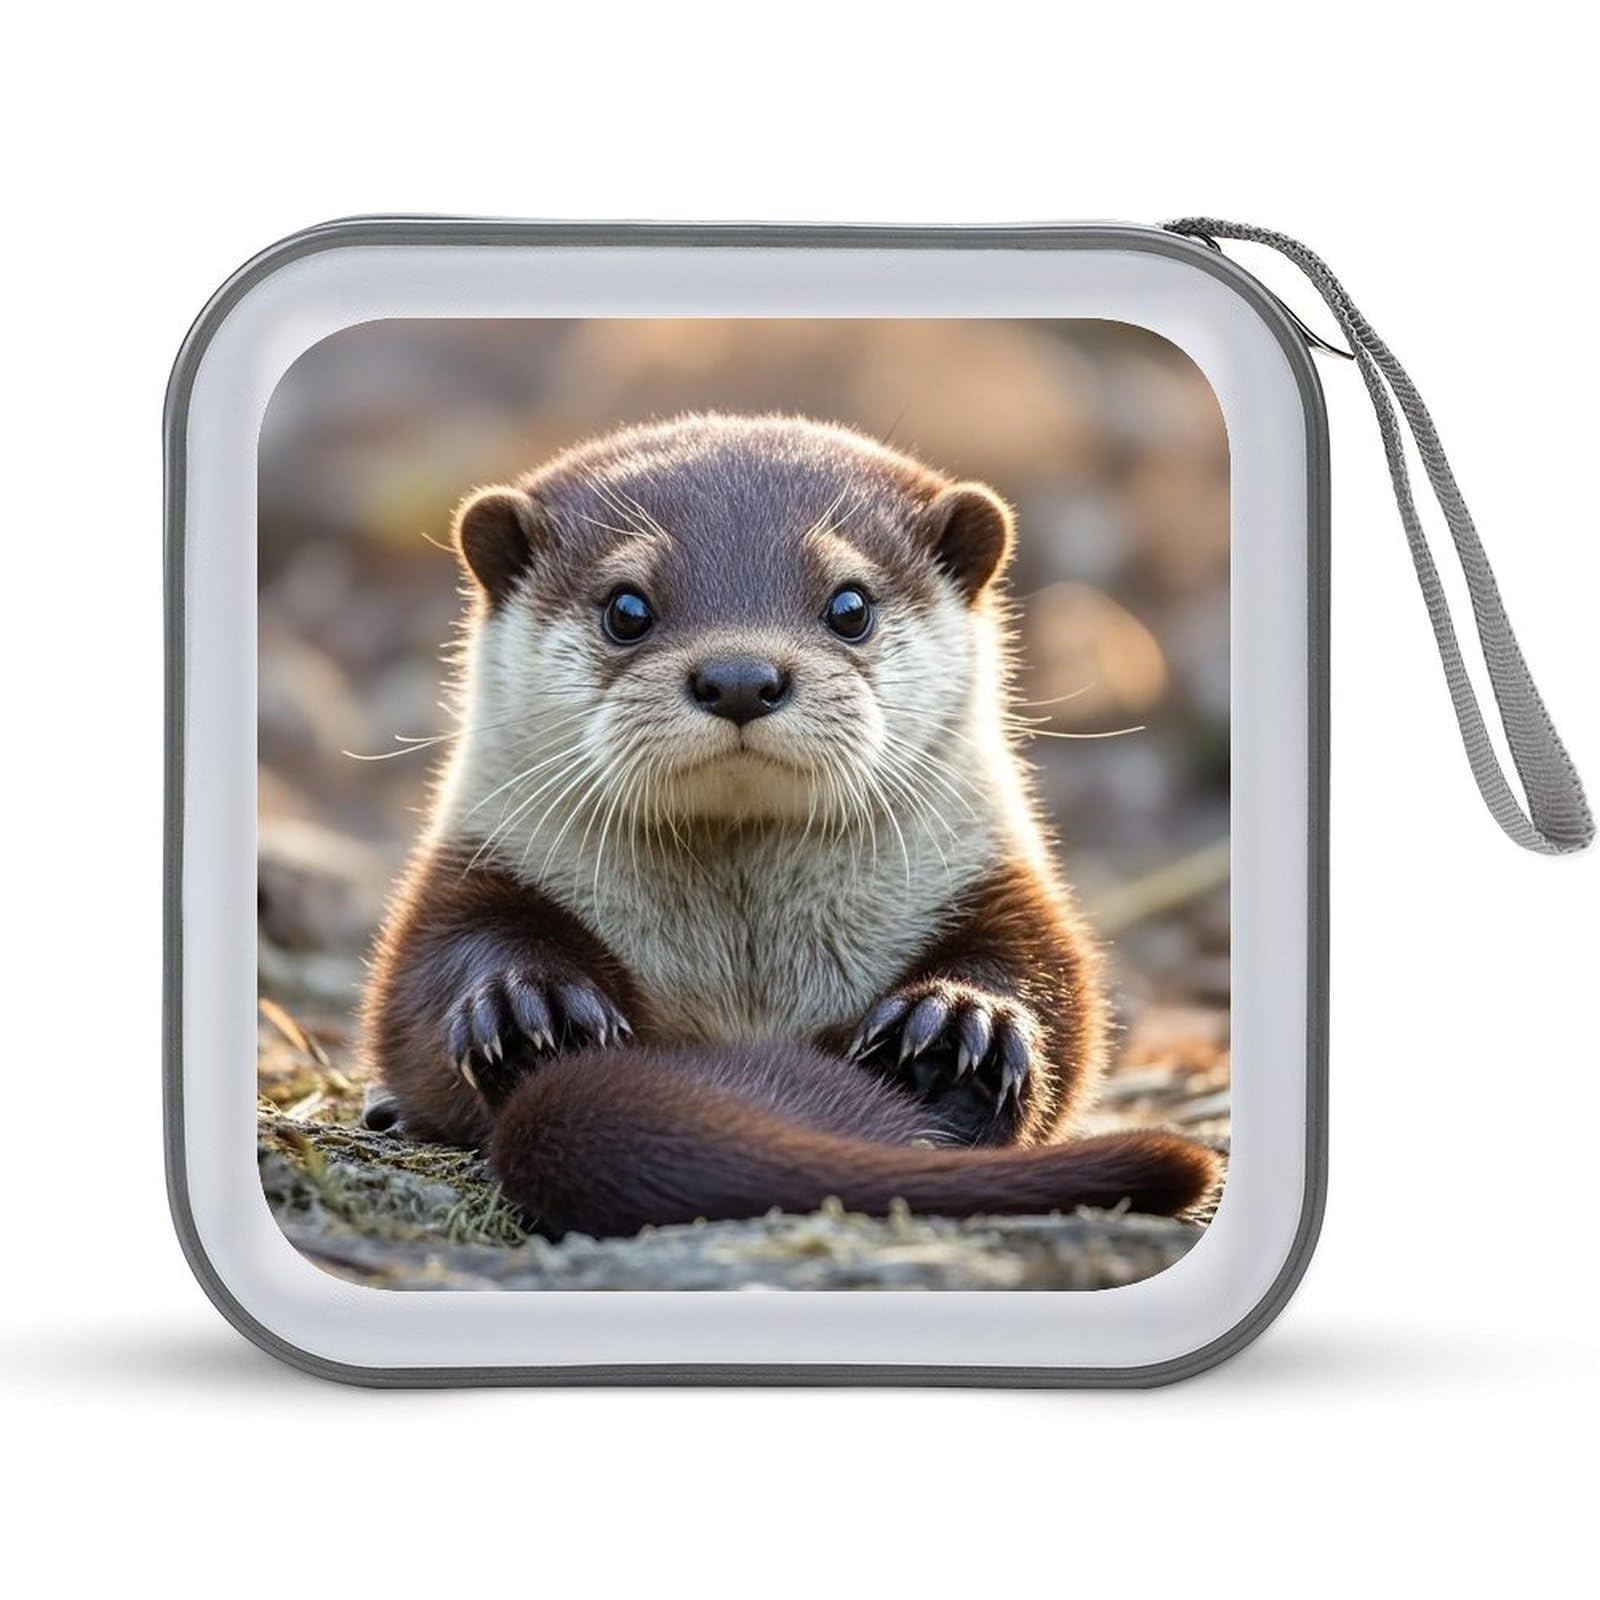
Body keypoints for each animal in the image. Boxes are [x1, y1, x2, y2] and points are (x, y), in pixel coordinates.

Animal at [363, 414, 1220, 1238]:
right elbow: (424, 987)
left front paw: (959, 1028)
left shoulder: (996, 881)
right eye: (626, 608)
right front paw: (528, 1010)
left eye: (850, 606)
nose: (740, 676)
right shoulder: (471, 871)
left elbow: (1050, 986)